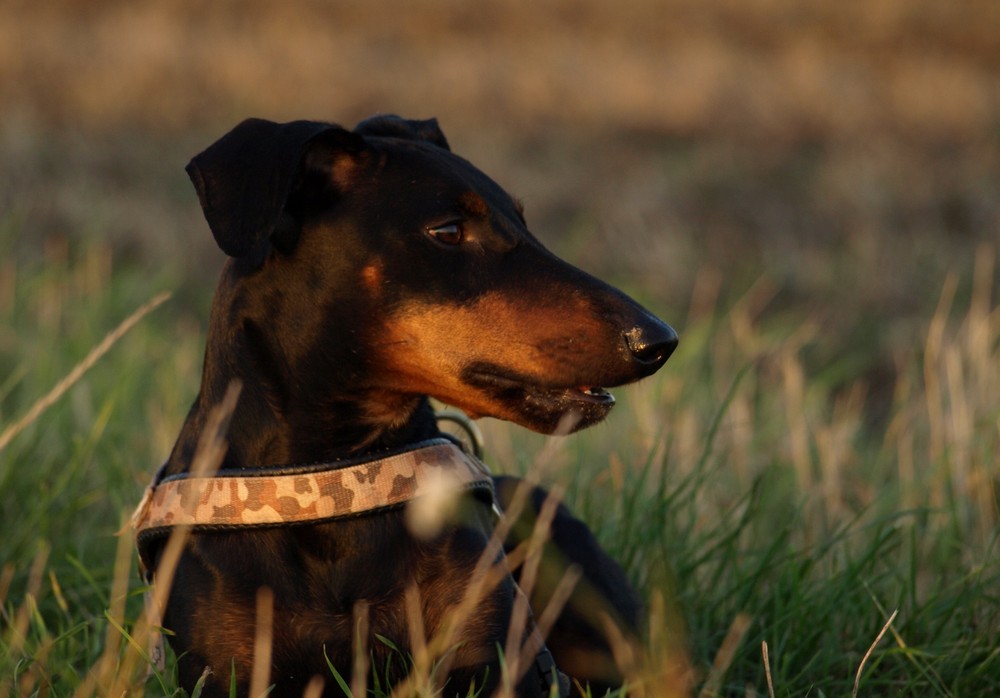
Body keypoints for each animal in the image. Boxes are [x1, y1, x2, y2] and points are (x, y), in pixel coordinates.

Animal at [133, 117, 676, 692]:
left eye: (524, 222)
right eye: (448, 231)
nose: (658, 341)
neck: (336, 480)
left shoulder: (499, 663)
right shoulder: (225, 671)